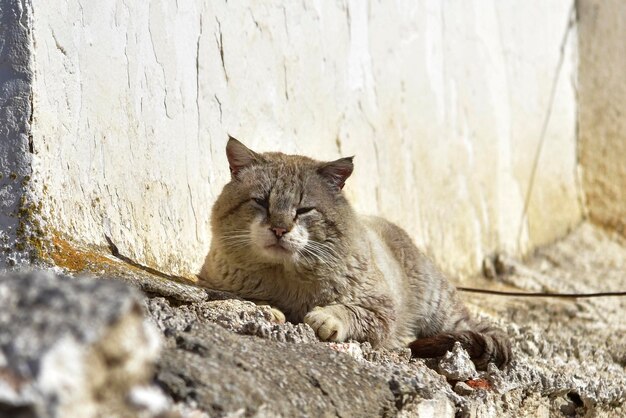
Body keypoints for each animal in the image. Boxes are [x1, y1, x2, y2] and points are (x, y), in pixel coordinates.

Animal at [201, 137, 512, 370]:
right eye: (261, 202)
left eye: (304, 210)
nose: (279, 229)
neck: (287, 278)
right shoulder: (217, 286)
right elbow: (245, 301)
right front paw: (268, 309)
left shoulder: (381, 310)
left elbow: (351, 311)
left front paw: (326, 318)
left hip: (443, 314)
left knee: (477, 329)